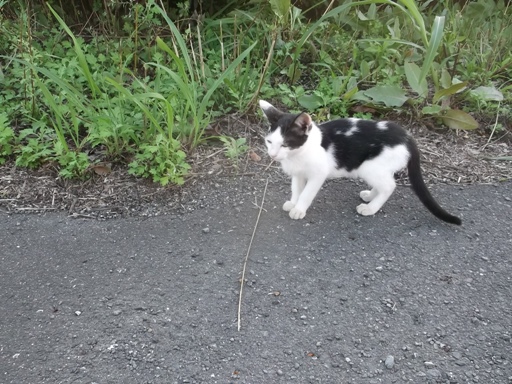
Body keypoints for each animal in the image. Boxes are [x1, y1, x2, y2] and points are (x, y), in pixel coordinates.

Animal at [258, 100, 462, 225]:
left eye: (285, 144)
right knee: (385, 183)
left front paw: (299, 209)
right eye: (269, 142)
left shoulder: (318, 174)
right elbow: (296, 189)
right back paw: (370, 196)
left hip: (369, 167)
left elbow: (306, 193)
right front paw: (293, 203)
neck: (299, 154)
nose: (272, 155)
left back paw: (370, 208)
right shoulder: (298, 173)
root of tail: (407, 137)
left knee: (390, 186)